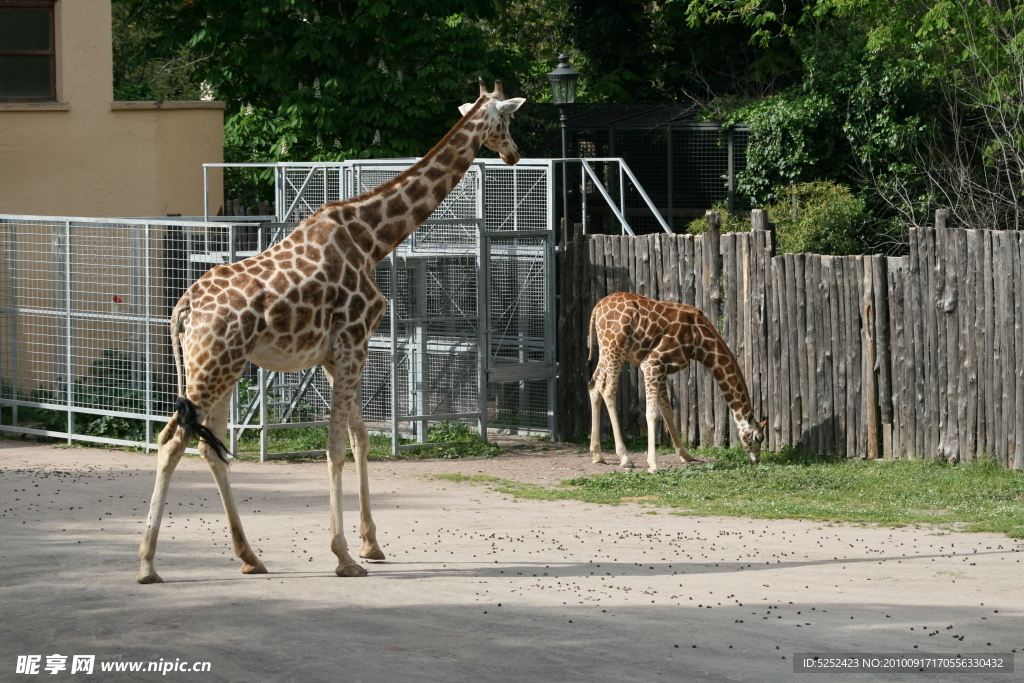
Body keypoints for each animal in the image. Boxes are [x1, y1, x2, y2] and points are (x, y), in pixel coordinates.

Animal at [134, 80, 528, 581]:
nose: (514, 154)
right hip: (213, 368)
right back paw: (148, 564)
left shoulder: (332, 354)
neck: (373, 239)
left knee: (208, 445)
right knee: (171, 441)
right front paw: (343, 556)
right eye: (508, 119)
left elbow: (361, 439)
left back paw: (250, 557)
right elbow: (337, 446)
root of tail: (183, 308)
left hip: (222, 366)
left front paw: (371, 544)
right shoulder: (353, 342)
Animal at [589, 290, 765, 473]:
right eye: (758, 438)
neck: (700, 341)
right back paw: (624, 457)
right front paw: (653, 464)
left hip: (606, 349)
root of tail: (596, 309)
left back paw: (597, 455)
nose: (756, 460)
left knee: (594, 385)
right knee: (608, 391)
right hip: (615, 348)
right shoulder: (652, 364)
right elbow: (652, 413)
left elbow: (668, 410)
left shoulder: (662, 369)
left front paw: (685, 455)